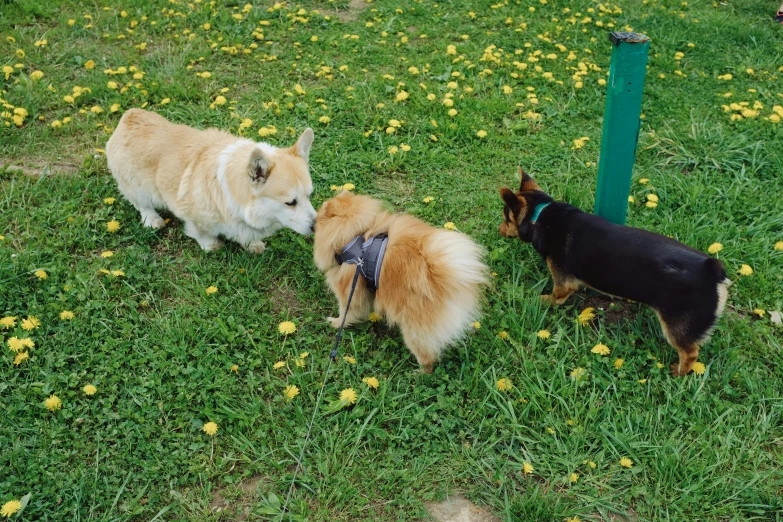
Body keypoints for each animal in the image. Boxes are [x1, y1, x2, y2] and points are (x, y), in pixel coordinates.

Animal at [105, 108, 316, 252]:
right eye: (290, 202)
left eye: (309, 195)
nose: (316, 227)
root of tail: (130, 116)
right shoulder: (192, 215)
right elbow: (201, 233)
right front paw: (211, 246)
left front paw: (252, 244)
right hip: (136, 186)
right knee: (142, 204)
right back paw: (153, 219)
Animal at [314, 190, 490, 370]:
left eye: (320, 214)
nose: (313, 219)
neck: (356, 239)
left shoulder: (350, 291)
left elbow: (346, 312)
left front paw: (335, 322)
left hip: (413, 327)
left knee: (426, 356)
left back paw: (419, 371)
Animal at [500, 167, 732, 374]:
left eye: (506, 219)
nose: (499, 230)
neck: (540, 215)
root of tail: (711, 272)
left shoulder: (563, 281)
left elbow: (558, 295)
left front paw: (544, 299)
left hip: (676, 327)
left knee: (690, 353)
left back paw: (679, 373)